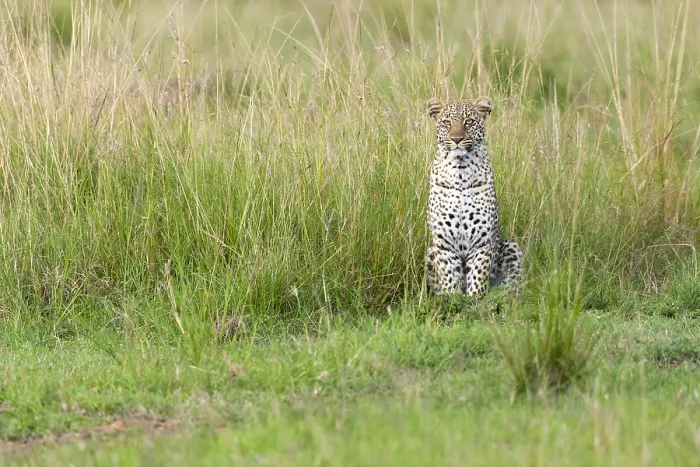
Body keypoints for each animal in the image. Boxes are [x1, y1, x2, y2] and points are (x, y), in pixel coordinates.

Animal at [424, 96, 522, 298]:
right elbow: (449, 276)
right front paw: (451, 299)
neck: (460, 171)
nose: (456, 139)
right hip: (430, 251)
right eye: (446, 122)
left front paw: (474, 300)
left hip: (512, 247)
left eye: (468, 122)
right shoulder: (443, 241)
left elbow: (478, 274)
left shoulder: (482, 239)